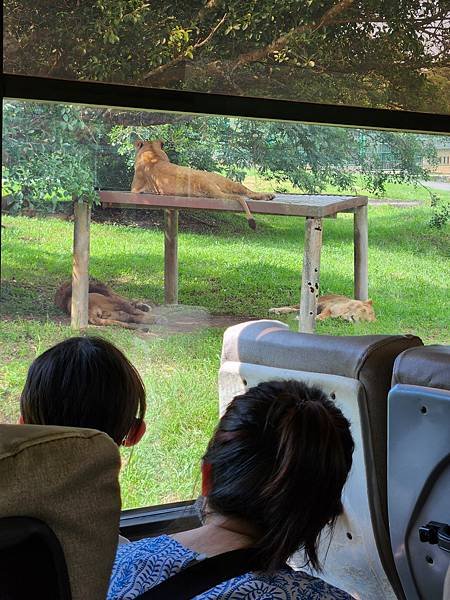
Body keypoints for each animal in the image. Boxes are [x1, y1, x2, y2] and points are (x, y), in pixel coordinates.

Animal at [130, 139, 274, 229]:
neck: (153, 154)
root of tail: (208, 182)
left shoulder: (135, 189)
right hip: (225, 183)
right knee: (245, 190)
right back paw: (268, 196)